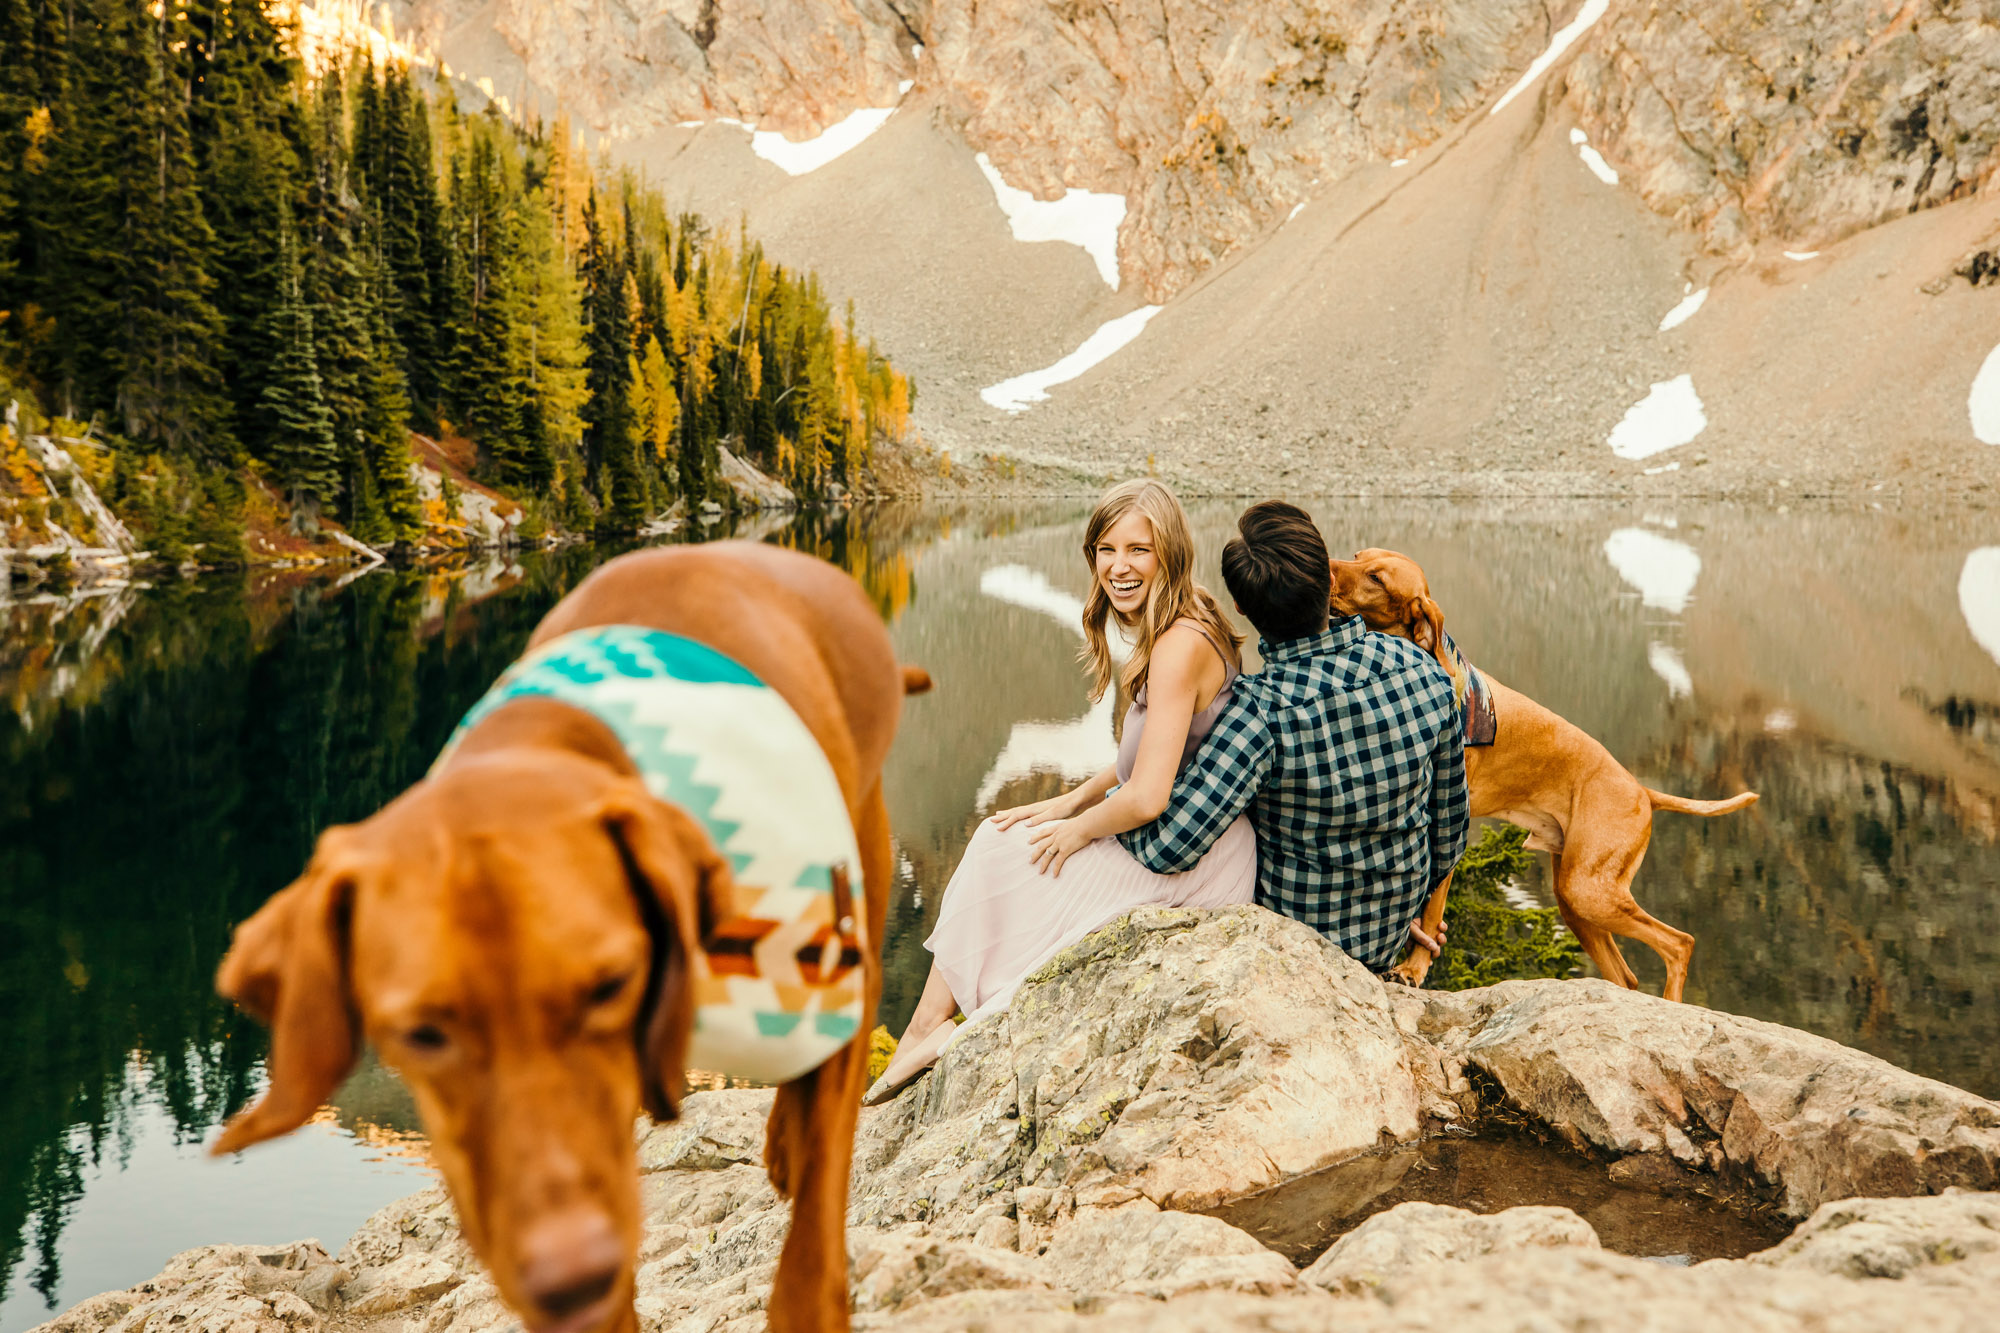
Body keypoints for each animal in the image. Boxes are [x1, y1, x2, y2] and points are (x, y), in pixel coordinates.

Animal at [1336, 544, 1760, 996]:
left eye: (1377, 579)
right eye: (1358, 556)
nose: (1327, 565)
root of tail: (1642, 790)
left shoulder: (1448, 825)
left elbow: (1431, 911)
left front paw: (1412, 970)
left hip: (1587, 890)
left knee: (1679, 943)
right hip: (1575, 899)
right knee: (1627, 977)